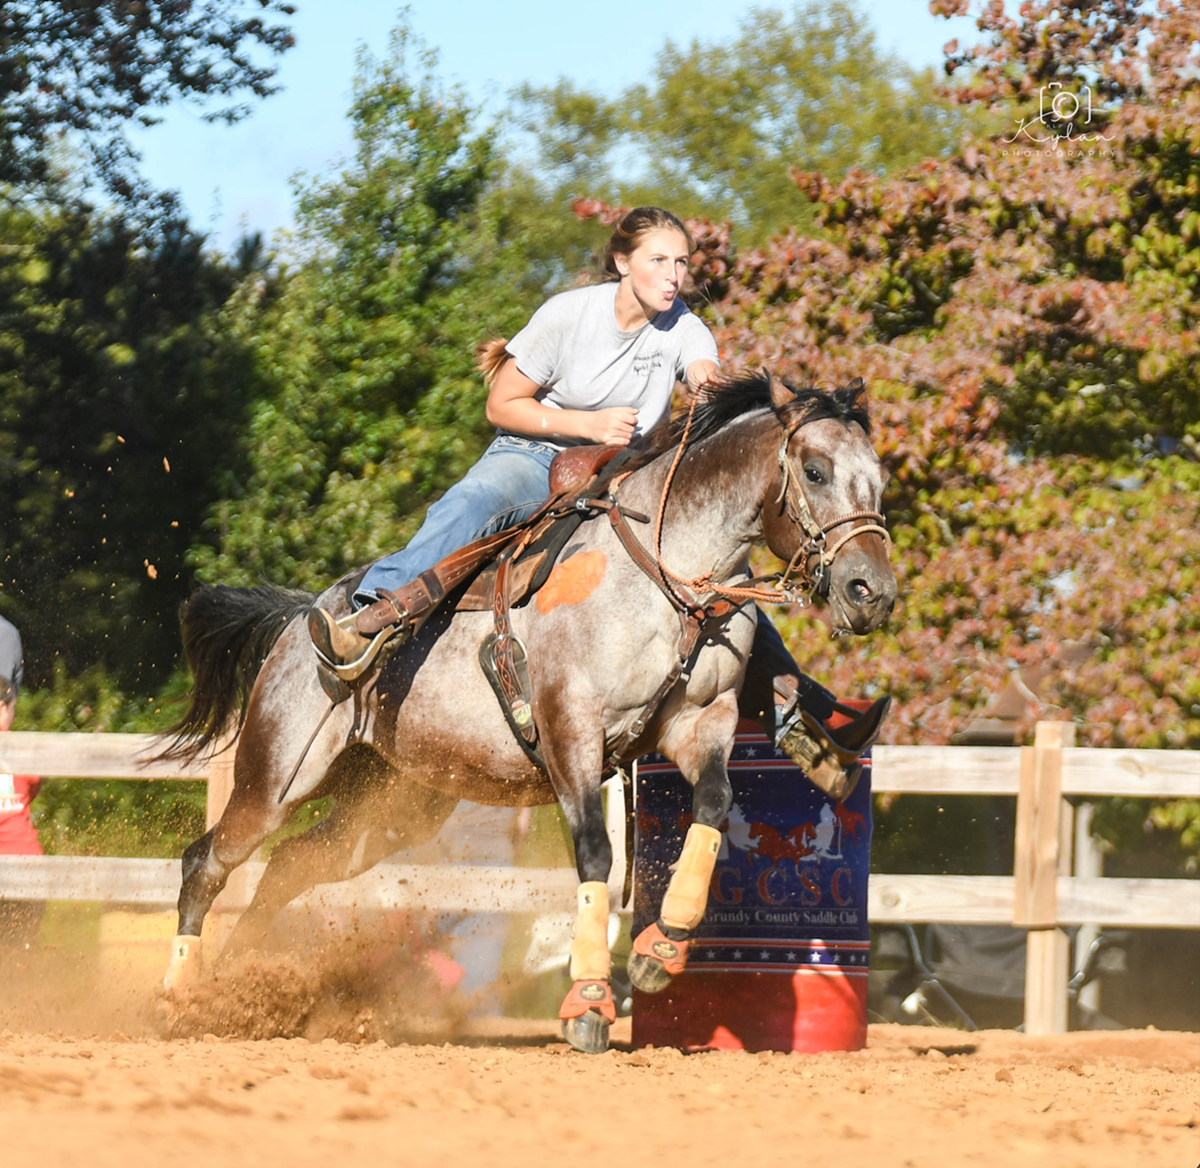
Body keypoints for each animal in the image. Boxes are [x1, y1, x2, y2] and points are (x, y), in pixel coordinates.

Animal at [159, 369, 897, 1051]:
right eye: (815, 469)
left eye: (879, 478)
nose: (873, 592)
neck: (667, 575)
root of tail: (301, 616)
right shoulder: (570, 726)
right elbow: (595, 853)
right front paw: (591, 1002)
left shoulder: (700, 722)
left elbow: (714, 807)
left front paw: (661, 951)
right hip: (279, 772)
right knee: (208, 863)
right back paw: (182, 999)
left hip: (392, 806)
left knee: (290, 866)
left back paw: (239, 989)